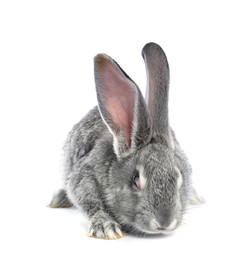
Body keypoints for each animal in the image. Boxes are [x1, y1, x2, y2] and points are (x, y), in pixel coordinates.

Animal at [48, 42, 201, 240]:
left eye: (179, 178)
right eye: (135, 179)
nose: (164, 223)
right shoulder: (83, 178)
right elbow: (91, 203)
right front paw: (106, 227)